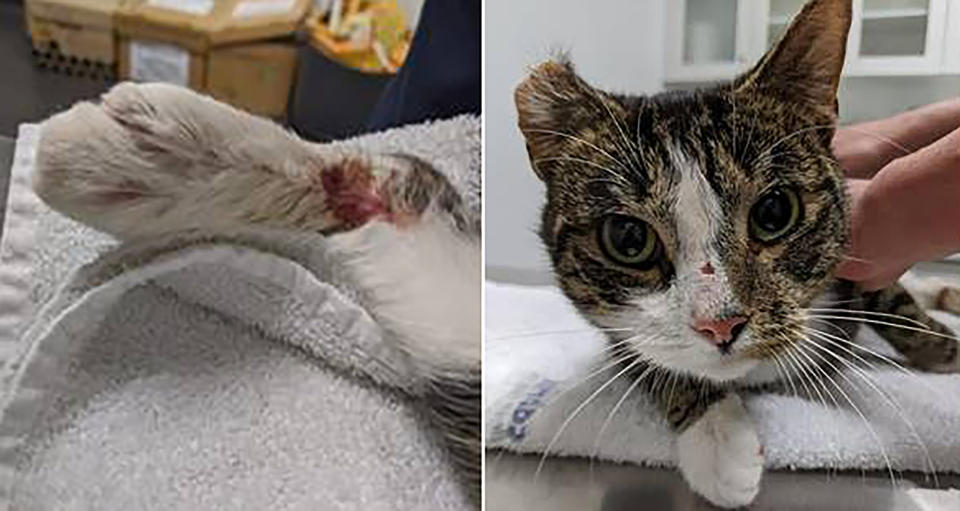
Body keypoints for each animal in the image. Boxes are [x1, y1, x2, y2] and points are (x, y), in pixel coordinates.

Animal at [516, 0, 960, 506]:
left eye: (774, 212)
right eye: (628, 238)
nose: (720, 325)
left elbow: (891, 298)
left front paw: (944, 350)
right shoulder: (618, 332)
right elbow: (649, 359)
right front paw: (718, 441)